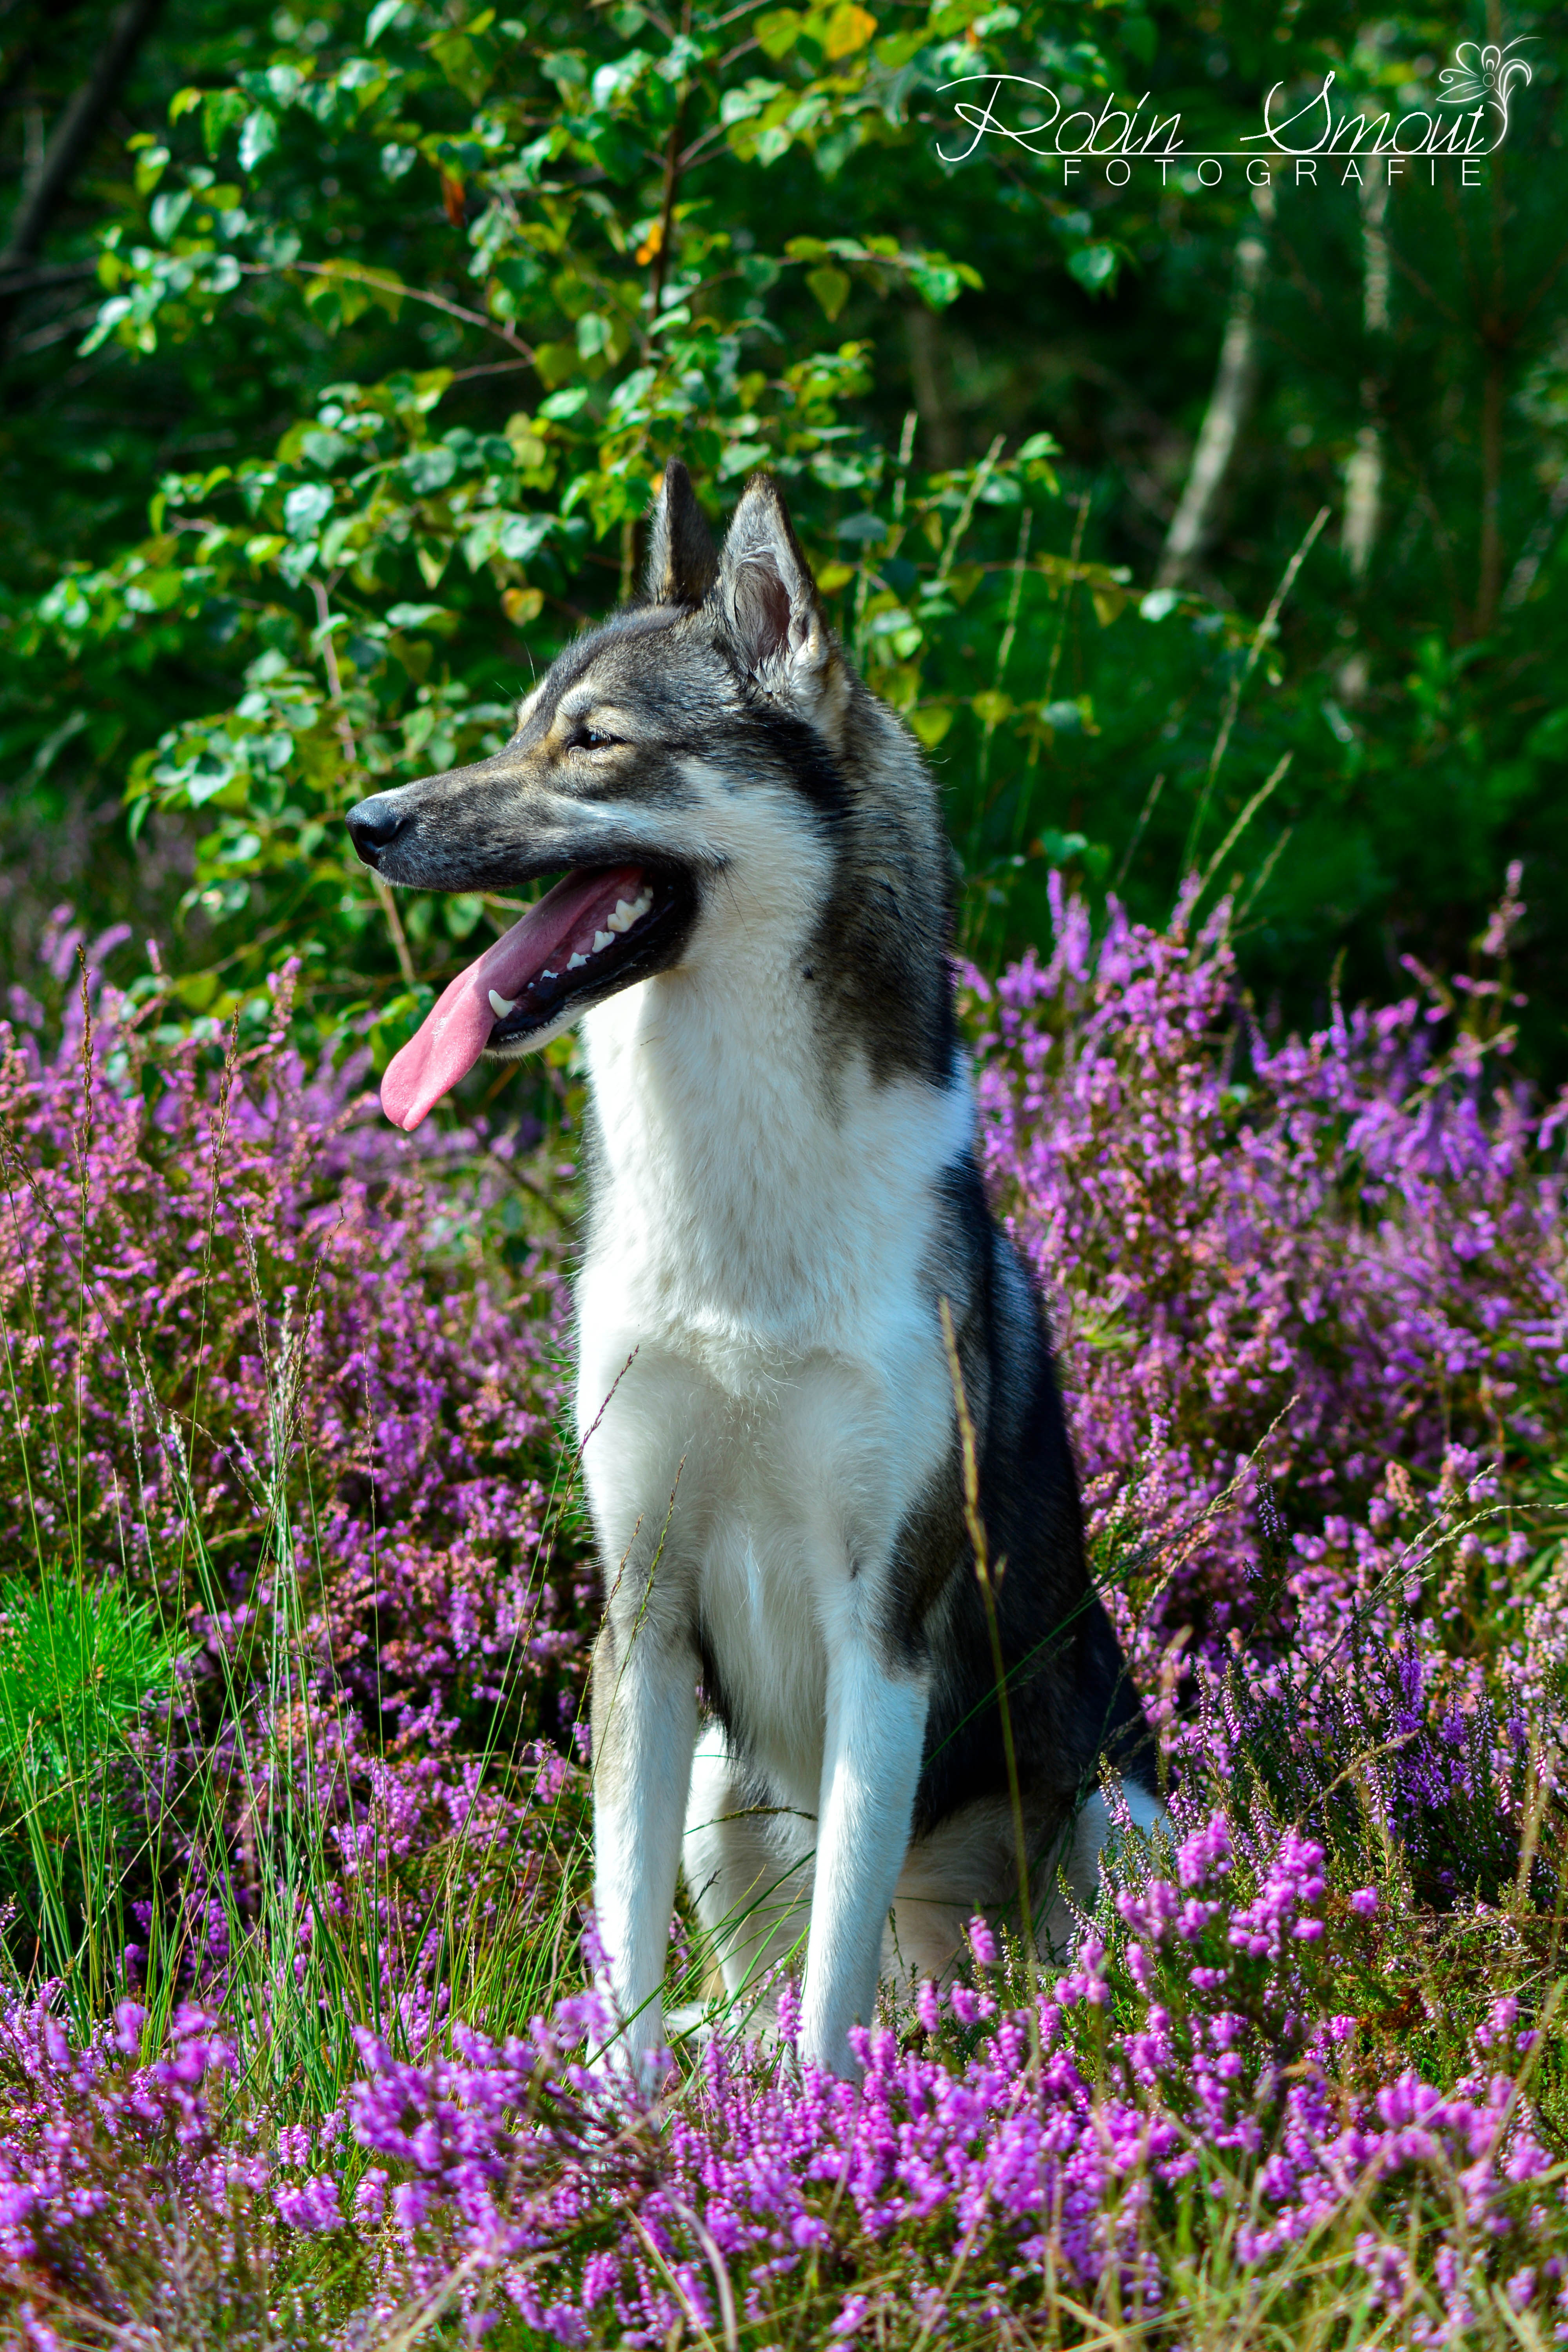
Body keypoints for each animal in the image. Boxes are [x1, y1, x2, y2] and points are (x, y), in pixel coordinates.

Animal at [346, 462, 1159, 2081]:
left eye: (595, 741)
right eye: (520, 724)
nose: (367, 821)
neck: (734, 1190)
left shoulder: (881, 1637)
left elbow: (837, 1984)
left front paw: (823, 2118)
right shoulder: (645, 1618)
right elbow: (628, 1955)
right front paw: (626, 2113)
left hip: (1120, 1818)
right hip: (727, 1775)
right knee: (731, 1984)